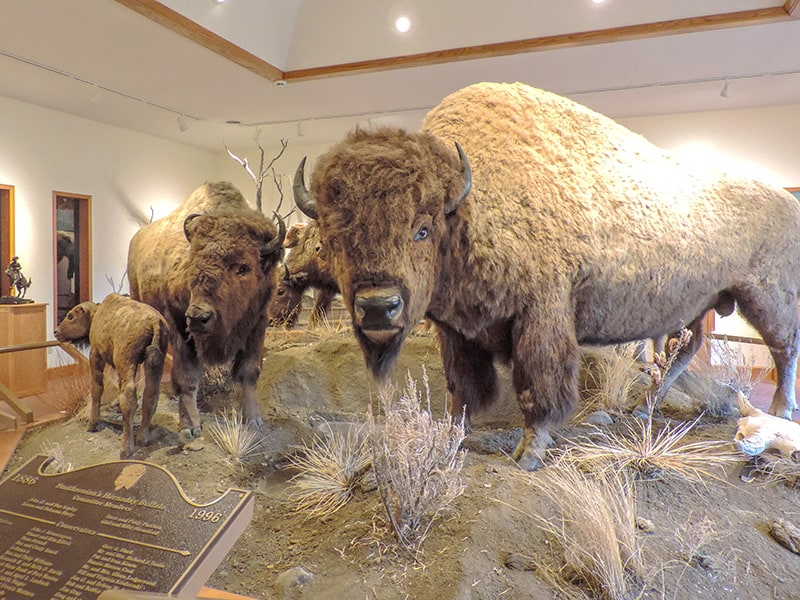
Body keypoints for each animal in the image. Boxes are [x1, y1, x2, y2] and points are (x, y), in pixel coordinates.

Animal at [54, 292, 170, 458]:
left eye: (70, 316)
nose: (56, 332)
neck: (97, 313)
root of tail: (155, 321)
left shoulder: (96, 355)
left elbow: (97, 388)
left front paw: (92, 424)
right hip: (154, 364)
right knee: (150, 394)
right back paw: (142, 437)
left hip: (126, 361)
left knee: (129, 396)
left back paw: (126, 449)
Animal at [127, 180, 284, 438]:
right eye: (192, 263)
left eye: (243, 267)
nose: (198, 317)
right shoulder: (180, 327)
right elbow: (187, 377)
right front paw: (190, 425)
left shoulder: (258, 323)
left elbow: (249, 372)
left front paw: (253, 419)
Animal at [296, 82, 800, 472]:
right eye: (333, 237)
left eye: (423, 228)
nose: (378, 307)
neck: (471, 203)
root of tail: (786, 202)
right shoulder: (456, 332)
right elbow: (462, 390)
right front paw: (451, 438)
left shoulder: (541, 317)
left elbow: (537, 388)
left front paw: (529, 454)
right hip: (699, 304)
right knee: (685, 351)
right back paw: (642, 410)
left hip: (765, 299)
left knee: (783, 349)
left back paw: (779, 413)